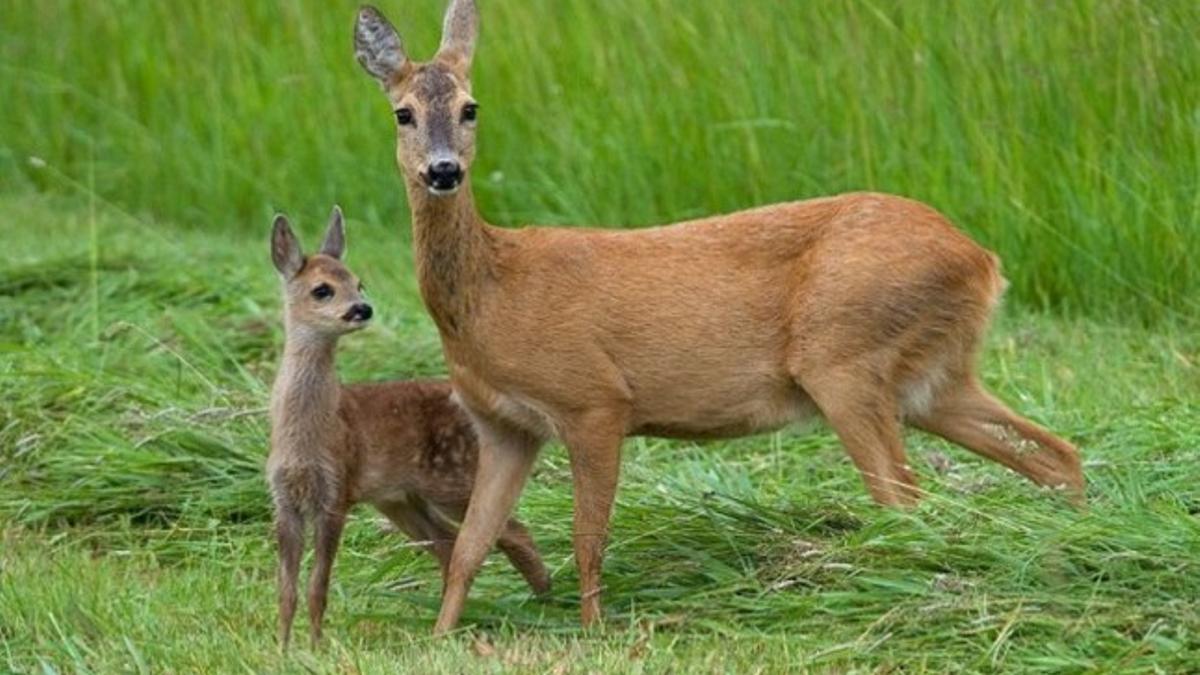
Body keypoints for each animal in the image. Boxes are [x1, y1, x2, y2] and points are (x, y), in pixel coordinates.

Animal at [350, 0, 1084, 629]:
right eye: (403, 114)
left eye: (471, 108)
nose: (444, 171)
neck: (492, 294)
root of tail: (982, 259)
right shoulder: (504, 425)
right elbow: (472, 545)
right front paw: (442, 636)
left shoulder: (594, 398)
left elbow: (588, 535)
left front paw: (594, 632)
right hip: (934, 378)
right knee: (1057, 454)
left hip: (846, 357)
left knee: (905, 497)